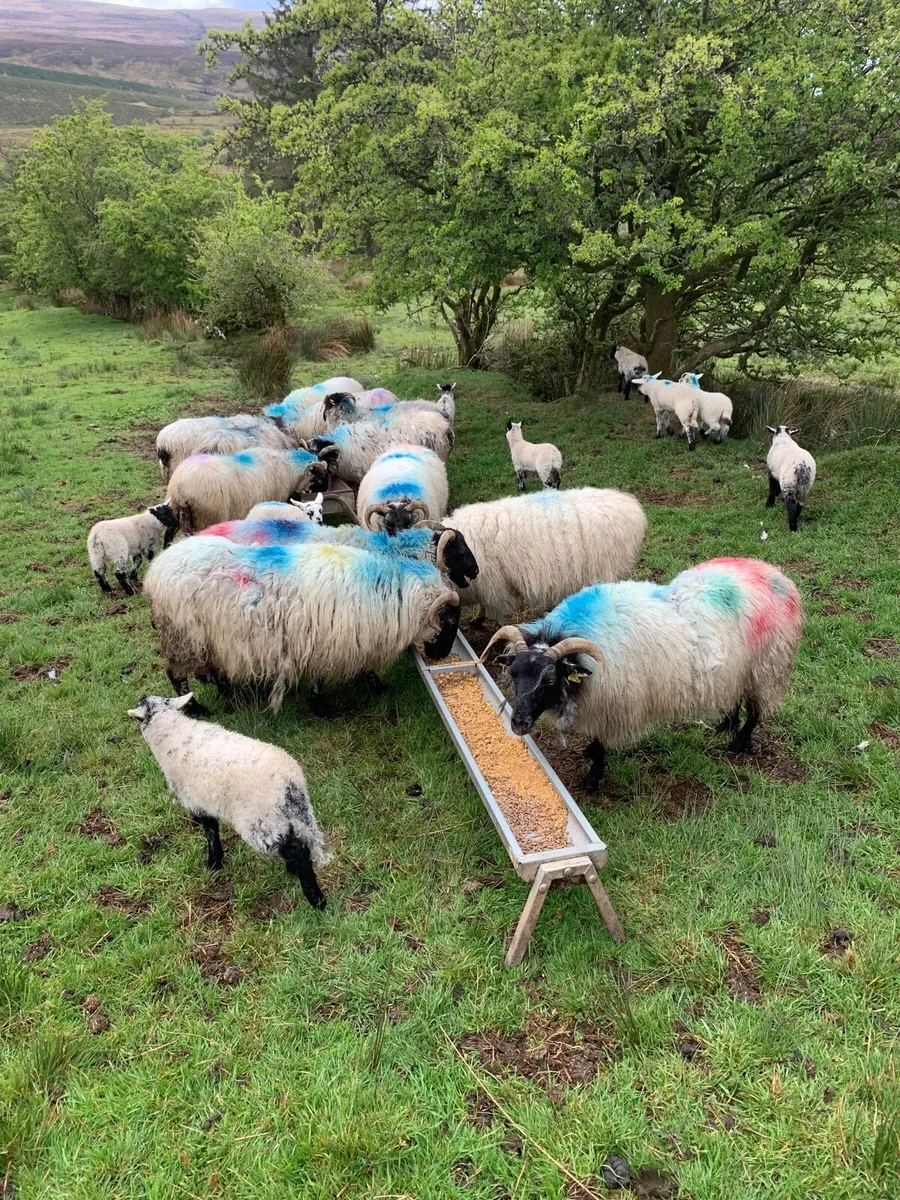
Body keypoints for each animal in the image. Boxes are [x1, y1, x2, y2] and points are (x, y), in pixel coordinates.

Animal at [127, 694, 329, 908]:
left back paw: (316, 899)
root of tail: (290, 783)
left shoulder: (195, 800)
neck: (171, 732)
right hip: (288, 815)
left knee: (297, 849)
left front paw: (214, 863)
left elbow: (210, 831)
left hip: (258, 820)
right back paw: (295, 871)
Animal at [143, 537, 462, 711]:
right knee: (176, 675)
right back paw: (197, 709)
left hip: (206, 641)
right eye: (449, 620)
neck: (391, 594)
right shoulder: (332, 642)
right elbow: (329, 677)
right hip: (181, 636)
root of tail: (156, 569)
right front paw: (324, 706)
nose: (441, 656)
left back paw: (229, 694)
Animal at [165, 448, 332, 534]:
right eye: (320, 479)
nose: (326, 491)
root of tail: (181, 489)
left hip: (173, 516)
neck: (288, 469)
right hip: (207, 517)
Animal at [482, 556, 803, 790]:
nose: (518, 723)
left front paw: (592, 778)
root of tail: (776, 575)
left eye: (549, 680)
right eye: (514, 674)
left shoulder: (612, 705)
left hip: (767, 667)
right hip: (737, 667)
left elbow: (602, 744)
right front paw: (588, 753)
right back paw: (726, 725)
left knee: (757, 710)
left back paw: (738, 742)